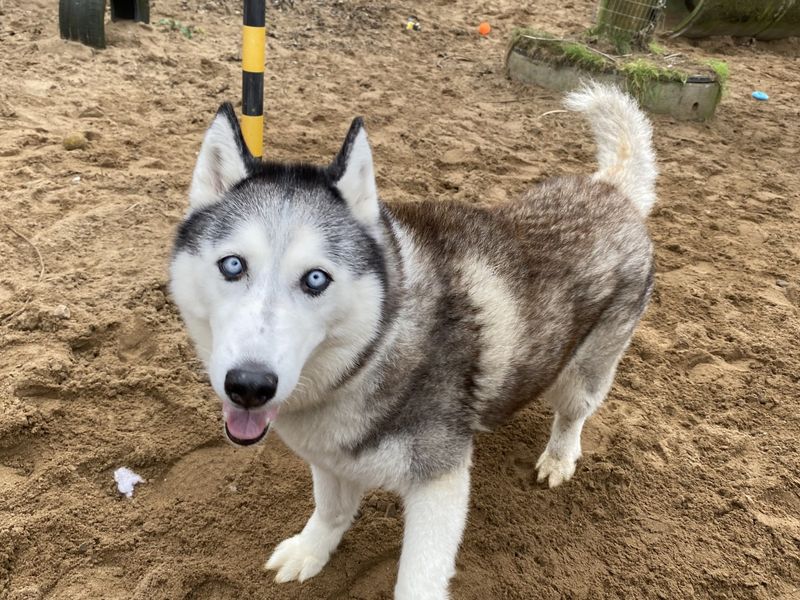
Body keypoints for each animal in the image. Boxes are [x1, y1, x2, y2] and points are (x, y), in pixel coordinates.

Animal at [169, 82, 656, 596]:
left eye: (316, 279)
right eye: (233, 265)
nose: (249, 385)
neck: (373, 351)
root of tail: (610, 189)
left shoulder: (439, 482)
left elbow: (417, 580)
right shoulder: (330, 457)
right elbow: (331, 510)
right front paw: (311, 550)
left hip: (583, 372)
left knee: (572, 413)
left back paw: (560, 456)